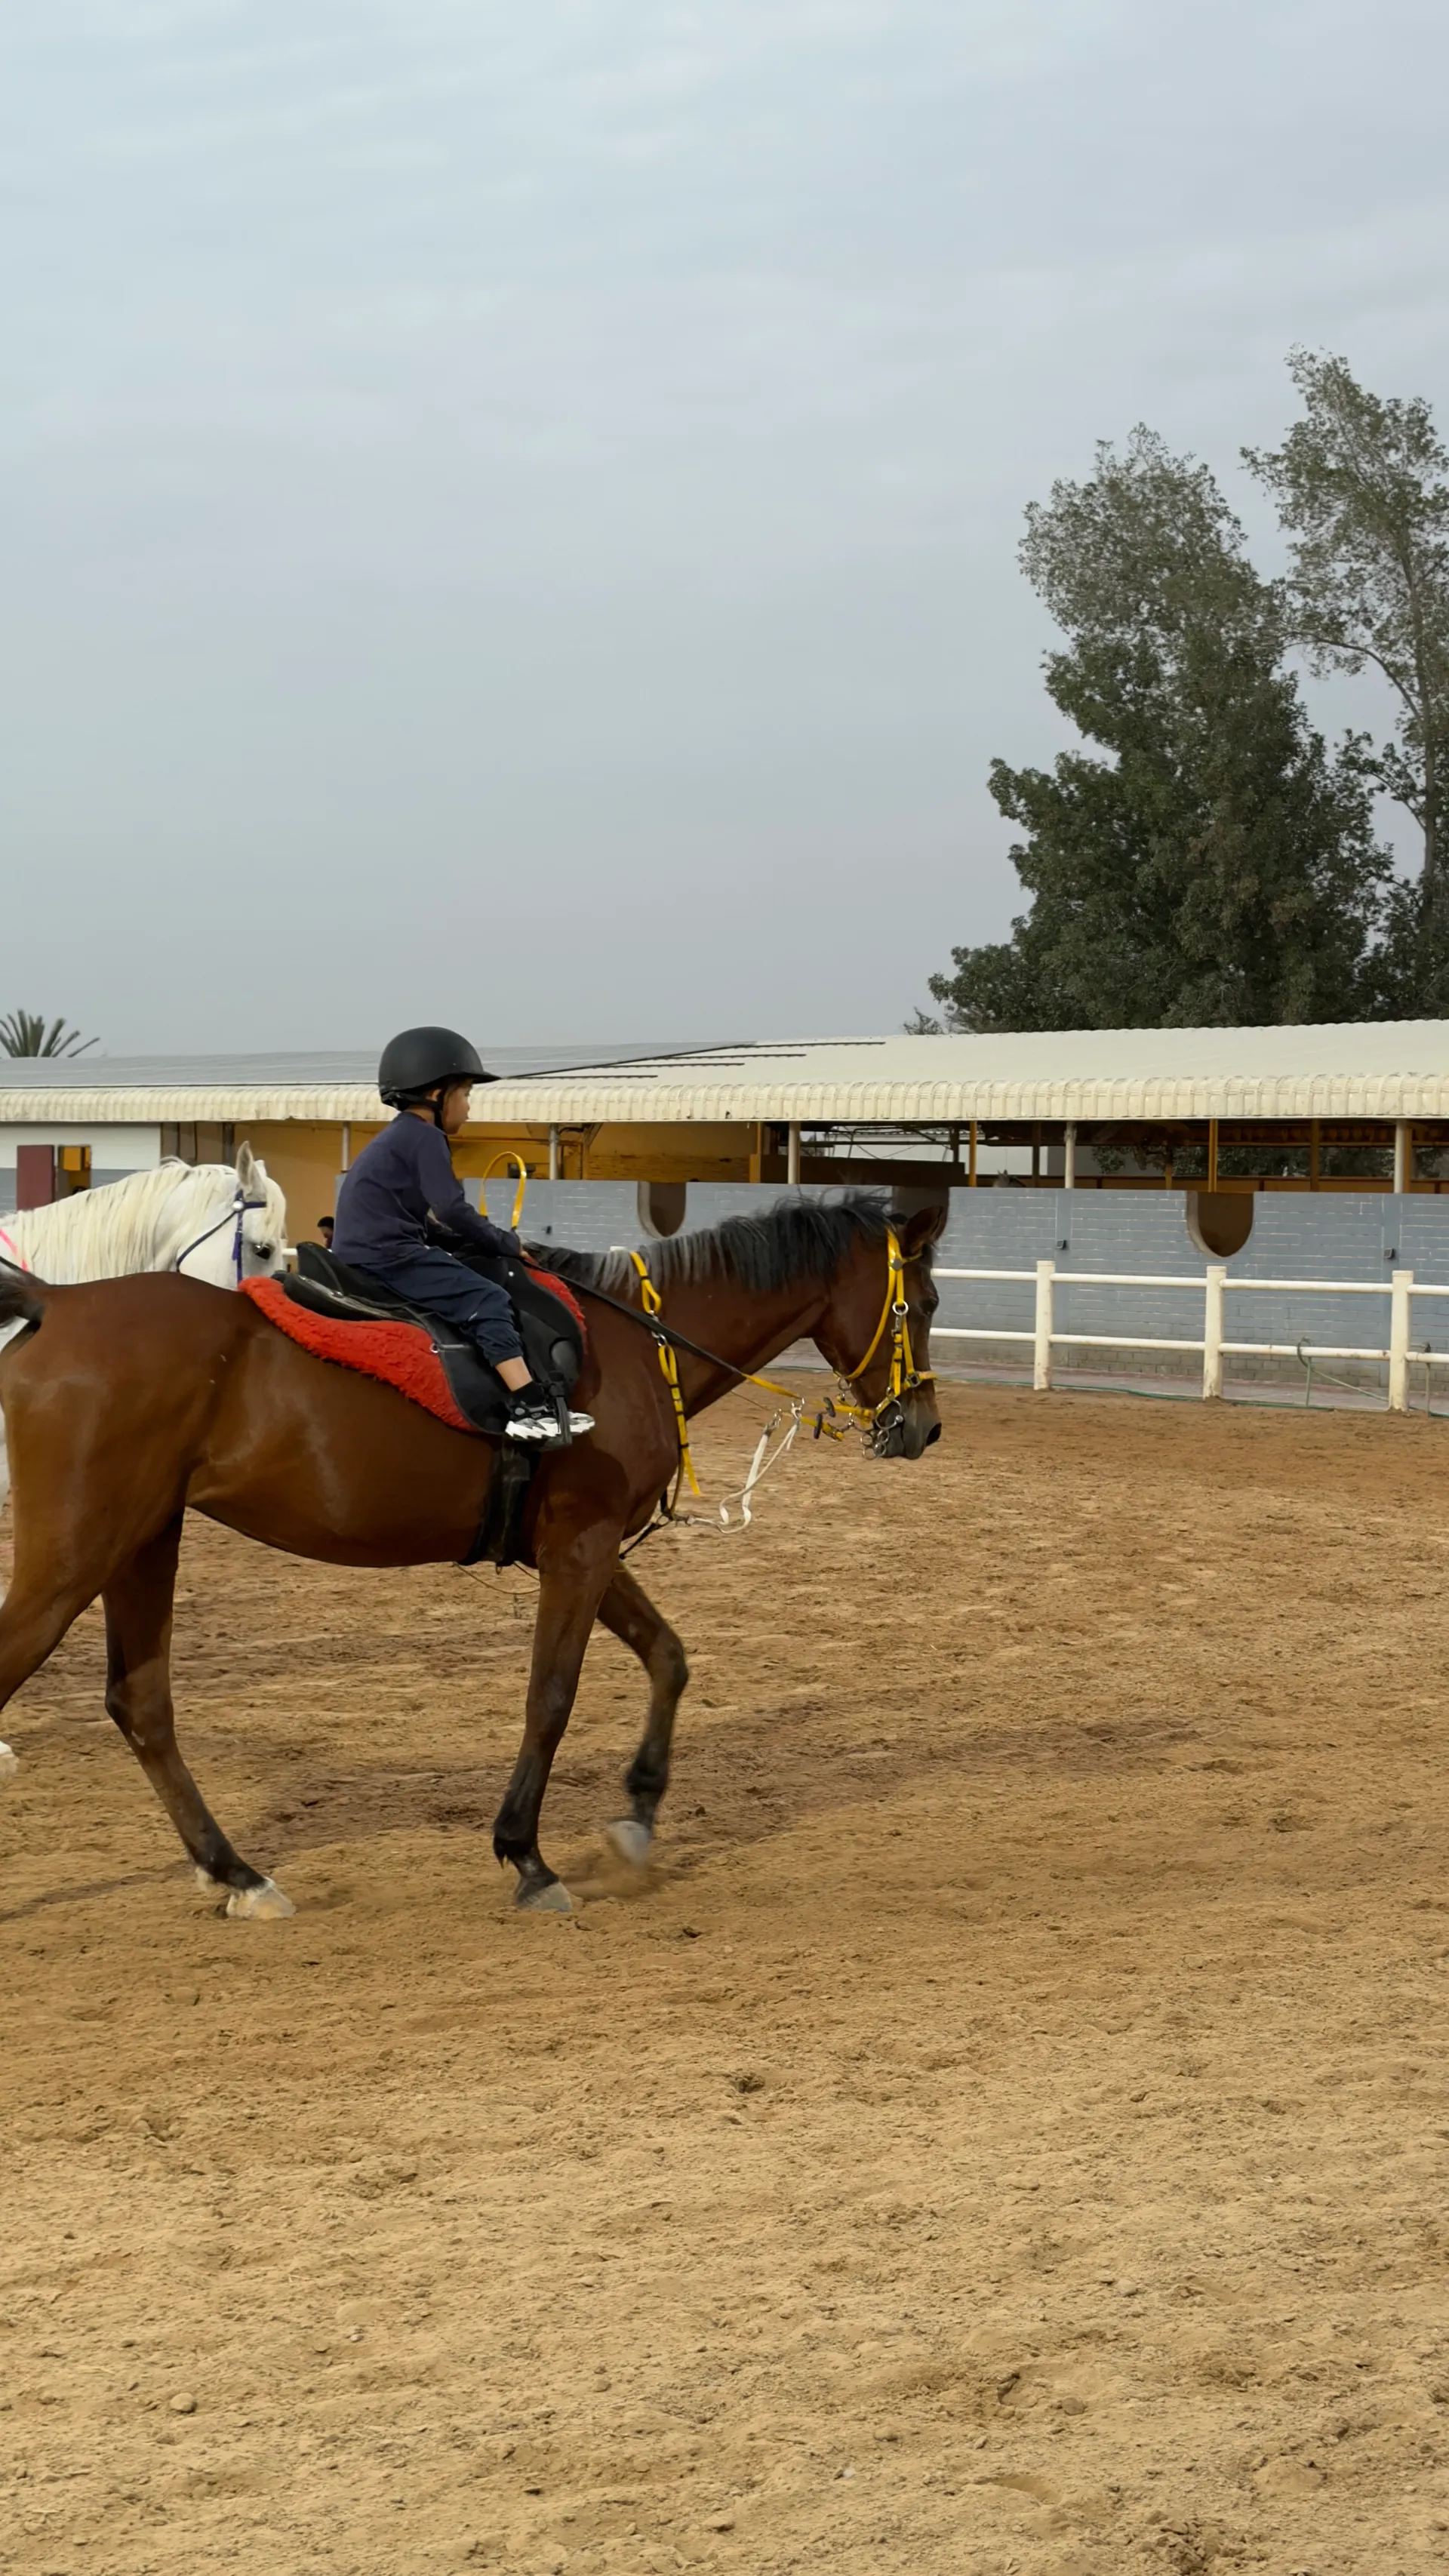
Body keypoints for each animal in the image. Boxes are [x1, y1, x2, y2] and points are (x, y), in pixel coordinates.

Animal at [0, 1192, 942, 1907]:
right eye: (926, 1304)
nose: (924, 1427)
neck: (640, 1344)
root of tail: (59, 1302)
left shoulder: (583, 1548)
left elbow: (668, 1658)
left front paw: (637, 1817)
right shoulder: (581, 1548)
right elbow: (551, 1697)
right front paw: (526, 1853)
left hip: (142, 1541)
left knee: (141, 1703)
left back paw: (235, 1871)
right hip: (77, 1554)